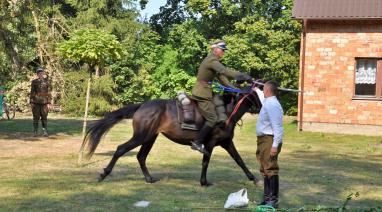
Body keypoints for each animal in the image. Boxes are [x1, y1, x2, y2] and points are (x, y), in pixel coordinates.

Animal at [80, 85, 262, 186]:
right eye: (257, 94)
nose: (263, 105)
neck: (227, 111)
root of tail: (142, 106)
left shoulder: (226, 142)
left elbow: (239, 160)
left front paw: (254, 179)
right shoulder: (210, 144)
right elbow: (205, 162)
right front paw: (204, 182)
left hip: (150, 138)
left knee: (141, 156)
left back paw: (149, 179)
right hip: (141, 137)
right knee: (120, 149)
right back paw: (104, 174)